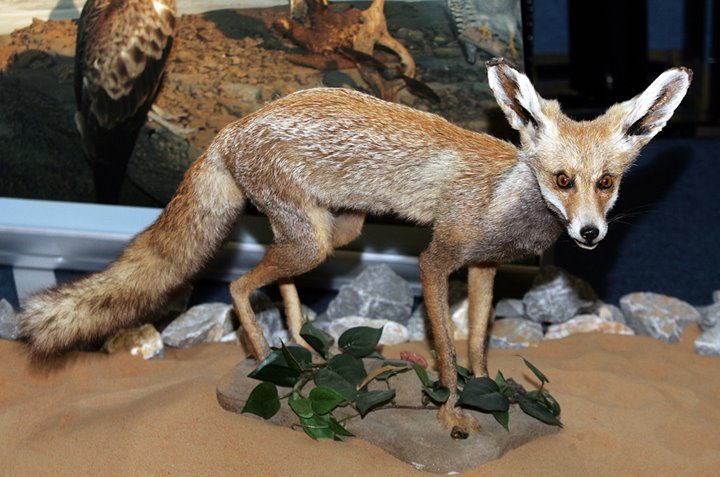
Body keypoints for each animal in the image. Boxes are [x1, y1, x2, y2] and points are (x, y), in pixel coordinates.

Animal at [18, 58, 691, 438]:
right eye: (562, 181)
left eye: (607, 183)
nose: (589, 234)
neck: (506, 196)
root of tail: (234, 127)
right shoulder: (437, 260)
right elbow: (446, 353)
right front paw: (451, 413)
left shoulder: (484, 267)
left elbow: (477, 342)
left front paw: (493, 394)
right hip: (312, 240)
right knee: (236, 283)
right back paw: (261, 351)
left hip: (331, 233)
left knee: (275, 275)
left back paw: (299, 344)